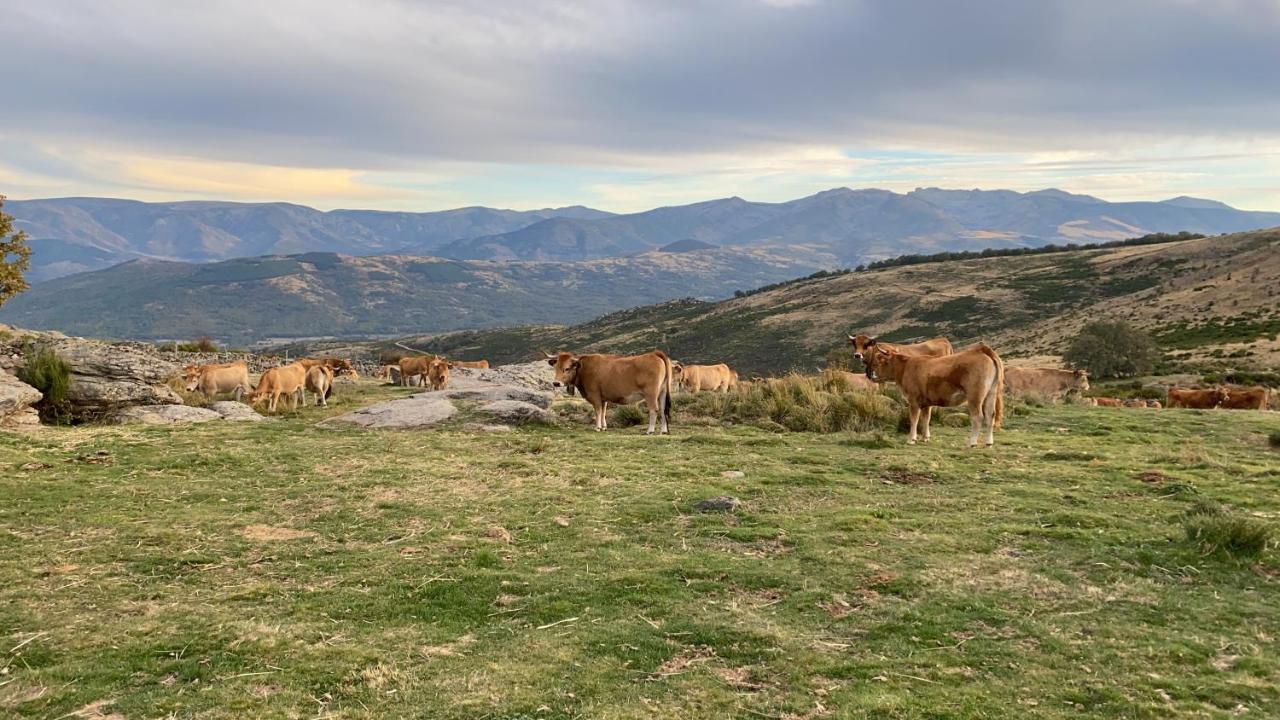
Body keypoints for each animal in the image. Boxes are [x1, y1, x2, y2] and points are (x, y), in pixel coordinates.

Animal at [545, 348, 675, 430]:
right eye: (555, 367)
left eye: (567, 368)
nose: (556, 383)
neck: (583, 369)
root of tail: (655, 354)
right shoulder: (604, 398)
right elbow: (603, 411)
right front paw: (604, 426)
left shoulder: (595, 395)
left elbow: (597, 411)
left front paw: (597, 427)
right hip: (662, 392)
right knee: (663, 409)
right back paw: (663, 430)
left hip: (651, 393)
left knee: (654, 409)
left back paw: (650, 430)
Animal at [865, 340, 1003, 445]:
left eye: (879, 362)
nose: (870, 375)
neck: (906, 368)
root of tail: (981, 350)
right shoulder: (927, 402)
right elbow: (926, 418)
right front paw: (925, 437)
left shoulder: (913, 400)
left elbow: (914, 419)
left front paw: (911, 439)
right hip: (991, 393)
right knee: (991, 414)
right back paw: (989, 442)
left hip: (975, 395)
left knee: (978, 416)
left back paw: (972, 442)